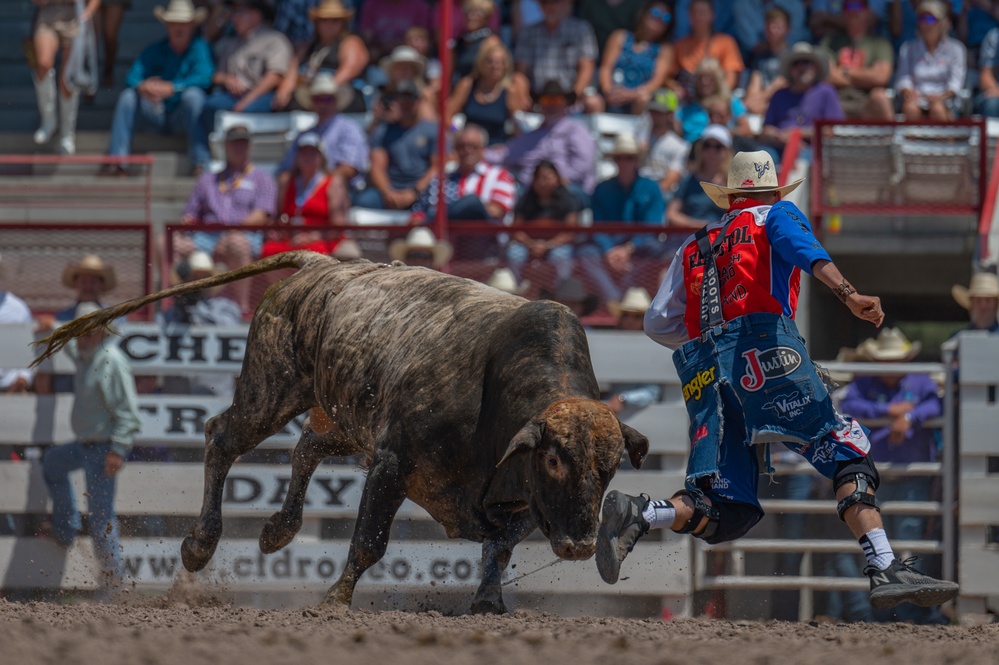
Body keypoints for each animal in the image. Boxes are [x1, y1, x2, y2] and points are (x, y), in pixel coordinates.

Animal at [35, 252, 648, 616]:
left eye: (610, 466)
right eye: (554, 460)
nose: (577, 544)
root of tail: (324, 263)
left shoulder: (517, 503)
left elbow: (499, 548)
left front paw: (489, 603)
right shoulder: (393, 463)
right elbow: (370, 540)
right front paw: (335, 597)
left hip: (345, 421)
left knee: (305, 447)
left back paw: (277, 530)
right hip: (273, 389)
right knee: (220, 438)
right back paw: (199, 544)